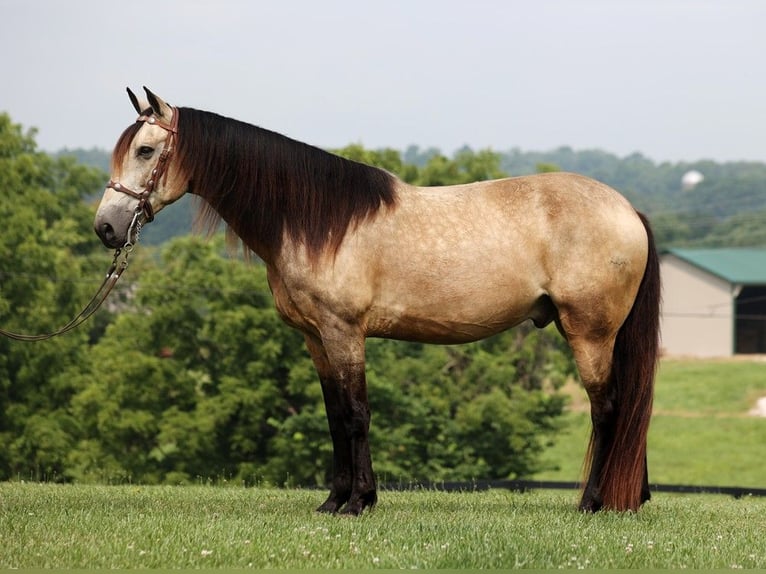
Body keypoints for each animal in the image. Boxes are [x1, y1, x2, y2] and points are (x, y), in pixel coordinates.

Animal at [94, 88, 660, 520]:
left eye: (146, 151)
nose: (105, 228)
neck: (315, 221)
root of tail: (628, 209)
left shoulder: (345, 332)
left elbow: (357, 414)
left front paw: (359, 502)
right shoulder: (316, 339)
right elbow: (333, 416)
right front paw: (334, 500)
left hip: (590, 333)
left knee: (608, 409)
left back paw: (592, 503)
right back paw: (629, 498)